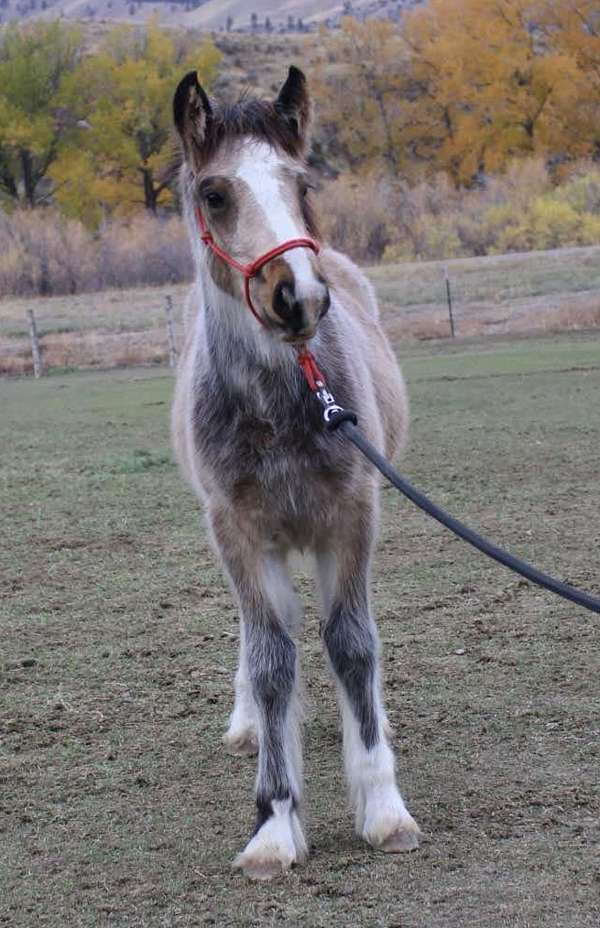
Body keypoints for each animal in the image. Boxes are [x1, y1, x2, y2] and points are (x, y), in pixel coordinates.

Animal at [171, 67, 420, 884]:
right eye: (215, 193)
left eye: (302, 183)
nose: (299, 297)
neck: (288, 404)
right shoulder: (240, 533)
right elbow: (273, 658)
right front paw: (275, 822)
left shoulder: (351, 518)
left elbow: (351, 644)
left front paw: (383, 807)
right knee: (259, 640)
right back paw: (251, 722)